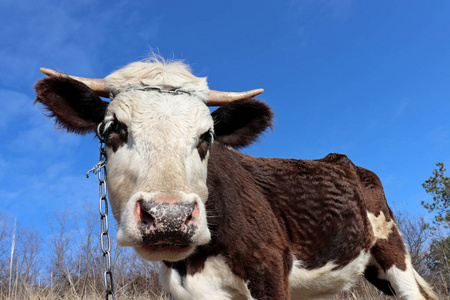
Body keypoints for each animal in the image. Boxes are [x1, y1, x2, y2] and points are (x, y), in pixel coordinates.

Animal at [34, 58, 436, 300]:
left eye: (206, 136)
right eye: (113, 129)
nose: (169, 217)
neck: (192, 263)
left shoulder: (270, 269)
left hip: (392, 250)